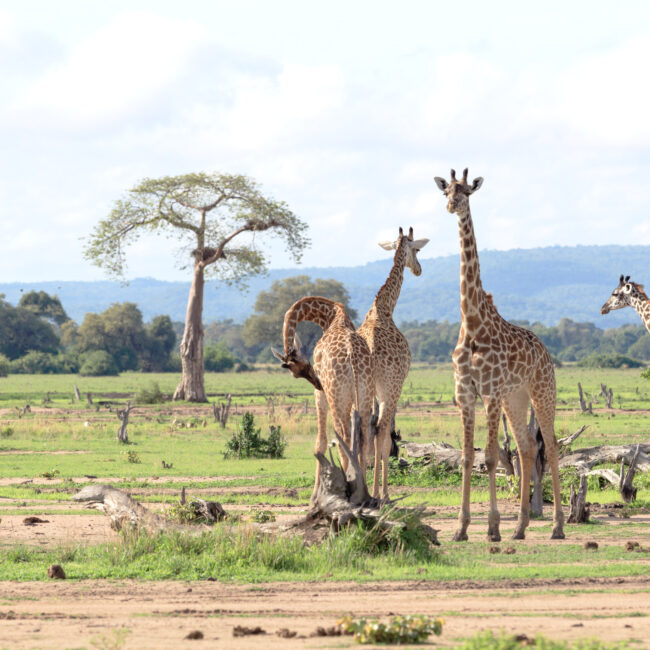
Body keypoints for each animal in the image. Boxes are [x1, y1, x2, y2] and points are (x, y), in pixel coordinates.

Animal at [270, 296, 372, 504]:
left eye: (299, 370)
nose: (317, 382)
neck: (330, 316)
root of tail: (352, 358)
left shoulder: (321, 396)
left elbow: (321, 442)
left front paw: (315, 496)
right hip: (363, 394)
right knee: (362, 437)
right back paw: (363, 492)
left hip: (335, 395)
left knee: (343, 437)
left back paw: (348, 489)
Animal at [432, 165, 564, 540]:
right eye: (446, 190)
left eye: (467, 192)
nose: (451, 205)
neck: (473, 323)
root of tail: (545, 350)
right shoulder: (465, 392)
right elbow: (467, 457)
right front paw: (460, 529)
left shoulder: (489, 390)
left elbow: (490, 457)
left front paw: (492, 528)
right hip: (515, 397)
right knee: (526, 447)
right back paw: (520, 528)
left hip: (541, 391)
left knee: (550, 445)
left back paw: (557, 527)